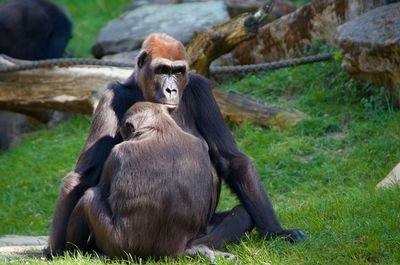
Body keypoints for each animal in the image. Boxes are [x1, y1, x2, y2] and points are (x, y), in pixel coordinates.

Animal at [64, 101, 233, 260]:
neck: (160, 129)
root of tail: (166, 254)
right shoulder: (202, 145)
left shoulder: (115, 155)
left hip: (117, 246)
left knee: (88, 198)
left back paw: (75, 251)